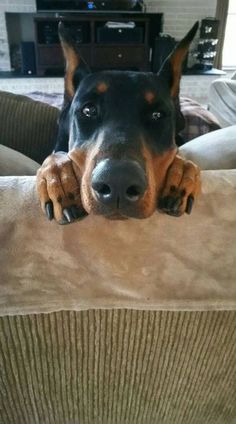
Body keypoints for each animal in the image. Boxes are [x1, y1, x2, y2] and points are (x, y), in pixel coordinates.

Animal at [37, 22, 201, 225]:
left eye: (158, 115)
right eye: (88, 110)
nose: (118, 181)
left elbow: (179, 152)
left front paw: (183, 168)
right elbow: (56, 154)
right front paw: (59, 176)